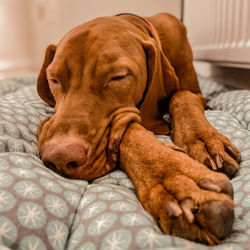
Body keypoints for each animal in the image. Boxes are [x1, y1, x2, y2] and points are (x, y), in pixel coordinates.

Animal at [36, 13, 240, 244]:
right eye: (54, 79)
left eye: (118, 77)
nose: (60, 156)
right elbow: (128, 129)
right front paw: (174, 180)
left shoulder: (196, 92)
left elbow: (182, 95)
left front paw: (204, 140)